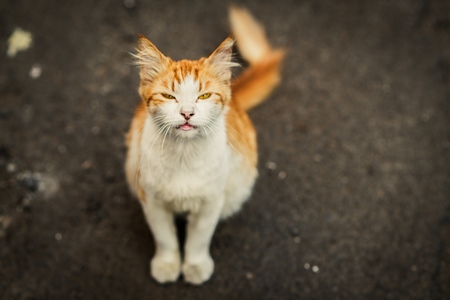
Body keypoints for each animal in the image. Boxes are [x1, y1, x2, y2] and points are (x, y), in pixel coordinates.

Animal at [125, 6, 284, 284]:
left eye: (204, 96)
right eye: (169, 96)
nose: (187, 113)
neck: (183, 154)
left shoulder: (212, 202)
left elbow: (198, 240)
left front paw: (196, 266)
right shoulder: (151, 200)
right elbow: (165, 238)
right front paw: (167, 265)